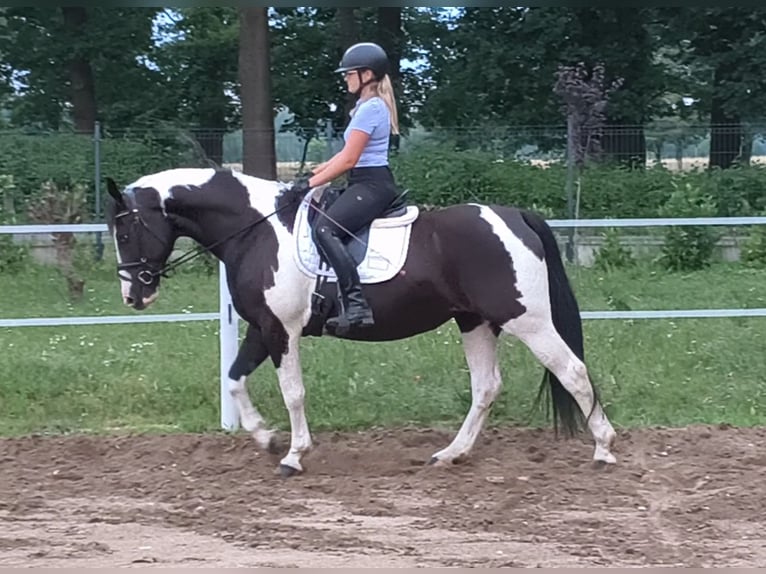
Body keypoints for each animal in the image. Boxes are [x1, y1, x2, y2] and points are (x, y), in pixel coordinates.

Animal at [105, 167, 617, 477]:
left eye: (126, 230)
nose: (133, 295)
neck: (256, 230)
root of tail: (515, 216)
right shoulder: (261, 327)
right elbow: (234, 380)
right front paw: (266, 438)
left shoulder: (281, 330)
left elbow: (293, 392)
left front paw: (293, 455)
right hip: (474, 322)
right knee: (486, 386)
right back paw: (452, 454)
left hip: (527, 319)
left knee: (572, 372)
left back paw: (604, 448)